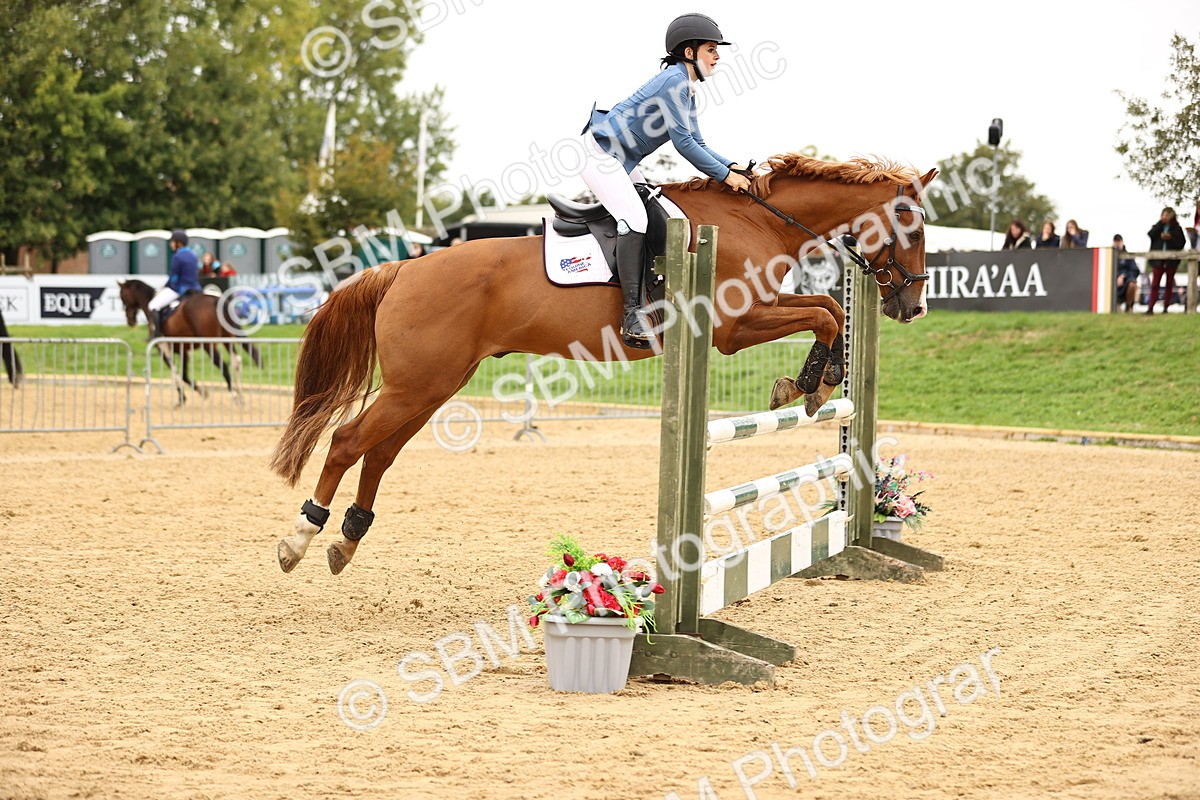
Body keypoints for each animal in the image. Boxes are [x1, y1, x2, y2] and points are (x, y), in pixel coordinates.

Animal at [117, 279, 262, 403]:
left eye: (123, 294)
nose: (130, 320)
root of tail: (214, 299)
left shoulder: (164, 349)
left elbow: (176, 373)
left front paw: (184, 397)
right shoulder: (184, 350)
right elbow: (183, 374)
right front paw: (200, 392)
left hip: (209, 345)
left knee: (223, 365)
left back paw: (234, 395)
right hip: (227, 339)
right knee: (236, 361)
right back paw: (240, 395)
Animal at [269, 153, 937, 575]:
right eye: (909, 223)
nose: (913, 306)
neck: (755, 220)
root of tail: (404, 267)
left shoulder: (760, 311)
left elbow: (828, 305)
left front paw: (813, 382)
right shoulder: (733, 327)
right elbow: (824, 312)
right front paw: (807, 386)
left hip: (433, 386)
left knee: (379, 452)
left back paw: (346, 541)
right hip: (417, 385)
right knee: (349, 440)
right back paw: (301, 538)